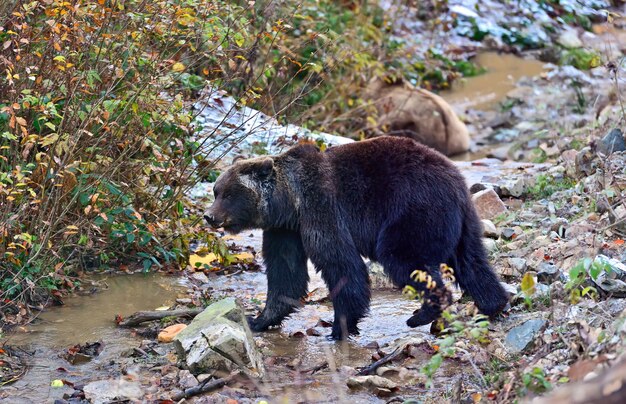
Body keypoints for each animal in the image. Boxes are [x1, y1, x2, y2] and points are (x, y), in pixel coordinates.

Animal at [205, 137, 508, 340]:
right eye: (216, 190)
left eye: (228, 193)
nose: (209, 216)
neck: (290, 202)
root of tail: (456, 182)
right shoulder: (285, 230)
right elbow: (285, 273)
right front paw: (259, 319)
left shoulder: (322, 208)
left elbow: (341, 264)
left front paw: (339, 327)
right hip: (463, 223)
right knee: (472, 261)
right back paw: (492, 304)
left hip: (413, 212)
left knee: (404, 259)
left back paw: (421, 314)